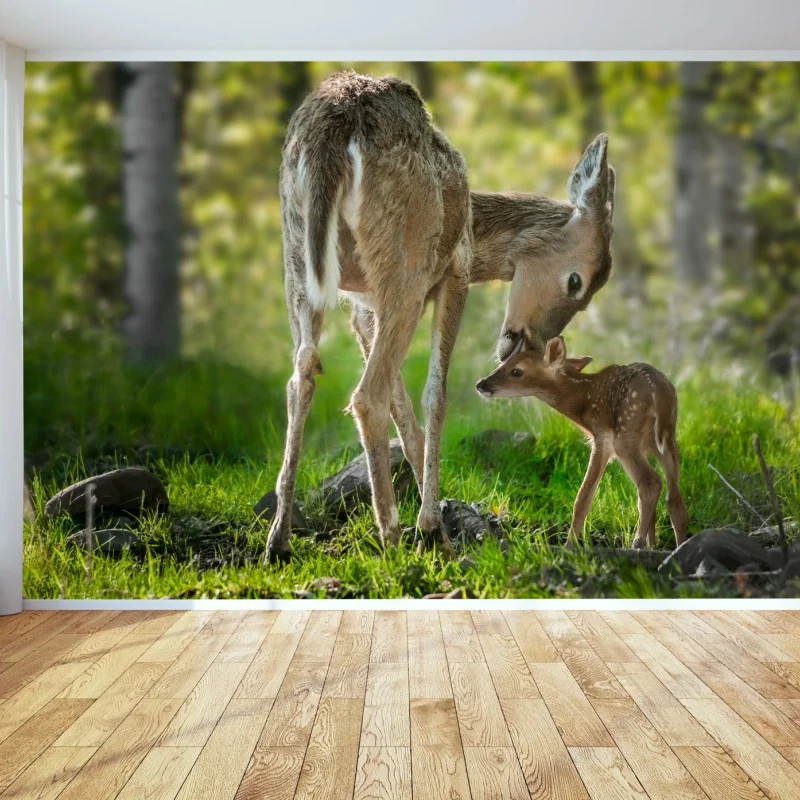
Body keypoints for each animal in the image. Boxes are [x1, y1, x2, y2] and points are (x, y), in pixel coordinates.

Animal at [265, 70, 615, 563]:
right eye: (577, 283)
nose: (526, 343)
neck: (474, 227)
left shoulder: (361, 307)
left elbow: (404, 408)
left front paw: (439, 523)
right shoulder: (456, 272)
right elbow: (435, 394)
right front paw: (432, 527)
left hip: (297, 258)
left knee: (302, 378)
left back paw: (278, 538)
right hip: (404, 263)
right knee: (366, 395)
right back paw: (390, 537)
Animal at [476, 337, 689, 550]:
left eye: (516, 371)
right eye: (503, 363)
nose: (481, 383)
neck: (583, 402)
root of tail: (660, 391)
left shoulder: (601, 437)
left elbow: (583, 497)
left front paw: (569, 545)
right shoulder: (644, 445)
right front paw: (652, 544)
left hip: (626, 432)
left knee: (650, 482)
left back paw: (637, 542)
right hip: (666, 435)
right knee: (673, 495)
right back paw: (678, 544)